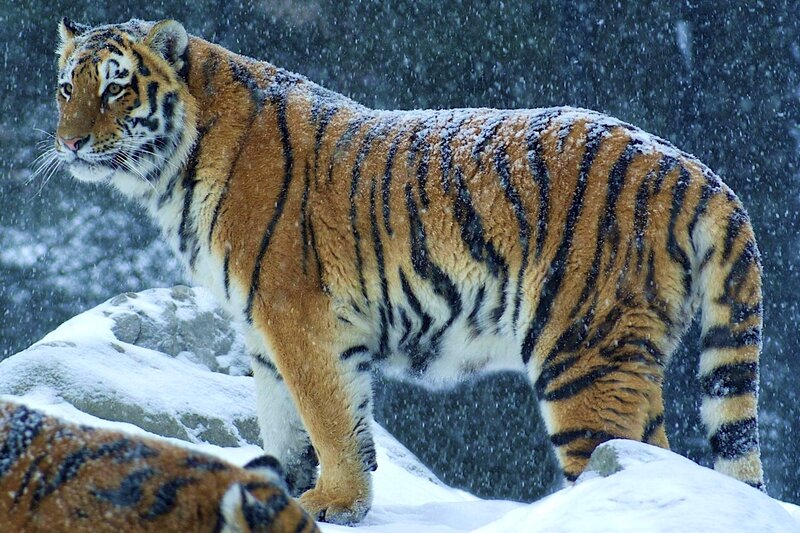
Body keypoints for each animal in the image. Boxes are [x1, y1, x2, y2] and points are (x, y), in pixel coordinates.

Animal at [50, 17, 766, 523]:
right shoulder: (261, 333)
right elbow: (288, 422)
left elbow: (328, 419)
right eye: (66, 88)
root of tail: (691, 167)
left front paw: (334, 503)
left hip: (583, 351)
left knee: (618, 461)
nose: (70, 142)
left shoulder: (299, 320)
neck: (171, 173)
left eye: (115, 85)